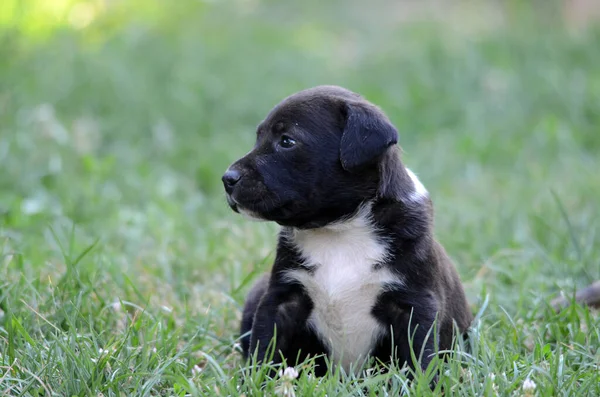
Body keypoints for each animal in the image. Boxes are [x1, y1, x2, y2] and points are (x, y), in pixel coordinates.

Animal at [221, 85, 474, 376]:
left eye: (287, 141)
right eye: (258, 137)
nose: (227, 178)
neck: (339, 230)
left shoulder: (416, 304)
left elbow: (420, 358)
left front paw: (422, 384)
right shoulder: (280, 298)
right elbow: (264, 347)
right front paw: (256, 380)